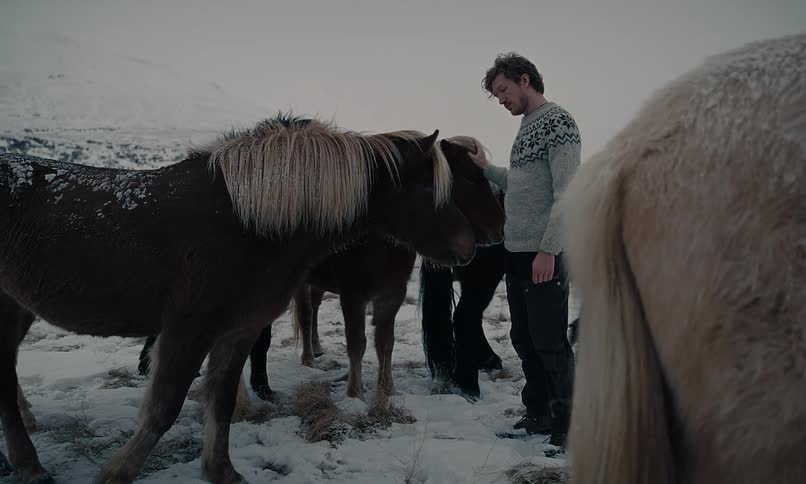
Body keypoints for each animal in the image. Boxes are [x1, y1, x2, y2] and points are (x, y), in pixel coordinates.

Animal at [0, 115, 504, 484]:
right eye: (434, 187)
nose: (470, 247)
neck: (245, 223)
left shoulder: (237, 331)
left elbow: (221, 401)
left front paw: (221, 470)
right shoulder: (188, 329)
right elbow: (164, 407)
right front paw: (117, 471)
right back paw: (31, 465)